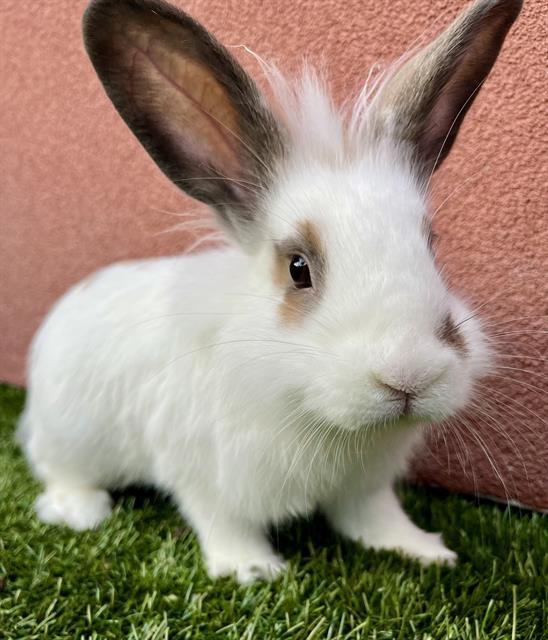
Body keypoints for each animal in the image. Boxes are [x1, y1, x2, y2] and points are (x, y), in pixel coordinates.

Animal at [18, 0, 521, 583]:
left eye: (431, 246)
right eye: (298, 268)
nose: (408, 377)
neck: (318, 415)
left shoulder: (365, 488)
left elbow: (375, 520)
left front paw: (423, 551)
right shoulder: (204, 475)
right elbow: (221, 521)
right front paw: (253, 569)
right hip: (68, 436)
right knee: (56, 470)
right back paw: (81, 511)